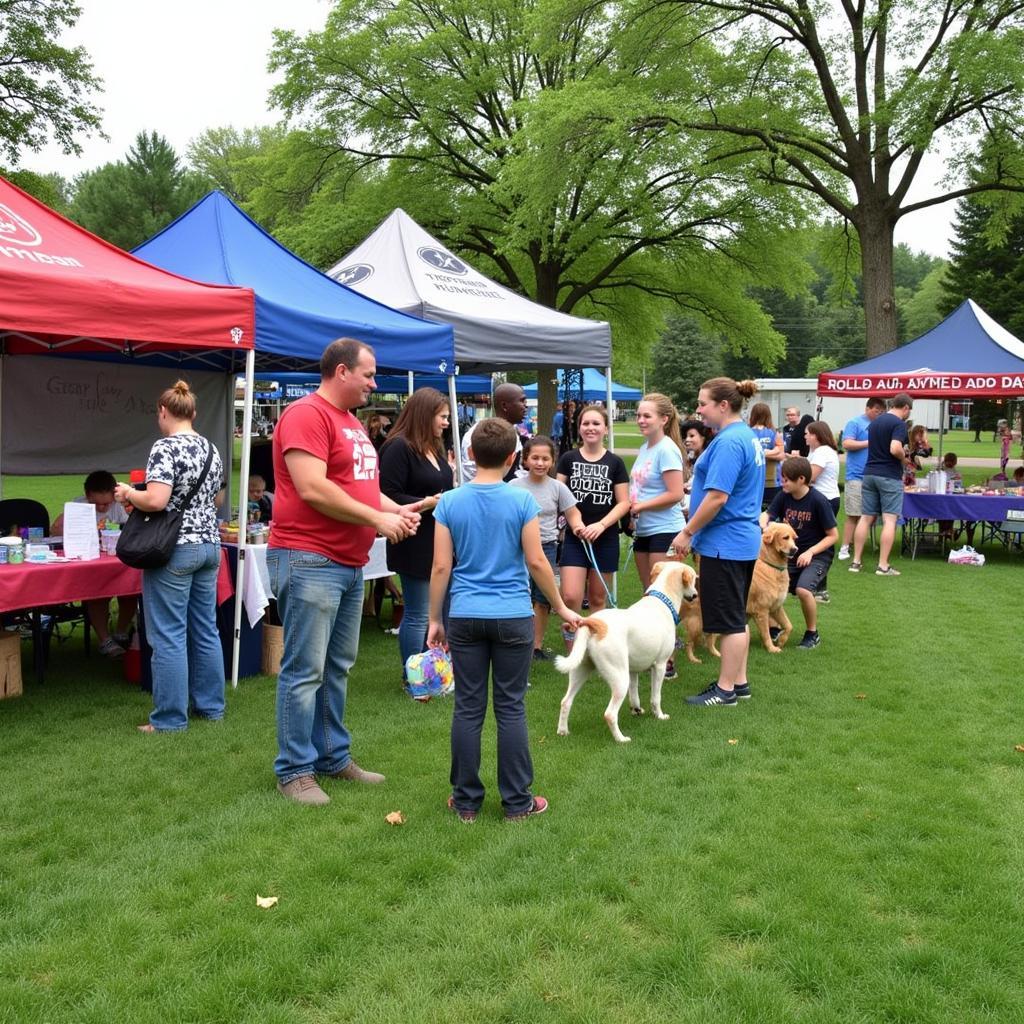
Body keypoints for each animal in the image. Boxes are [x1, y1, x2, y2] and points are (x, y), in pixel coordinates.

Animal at [557, 561, 700, 745]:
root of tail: (594, 623)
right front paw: (659, 715)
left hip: (581, 671)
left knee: (565, 702)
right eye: (693, 579)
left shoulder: (632, 670)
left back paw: (563, 731)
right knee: (609, 714)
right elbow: (656, 697)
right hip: (619, 678)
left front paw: (636, 710)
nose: (695, 595)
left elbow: (634, 693)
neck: (662, 600)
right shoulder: (660, 666)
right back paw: (621, 739)